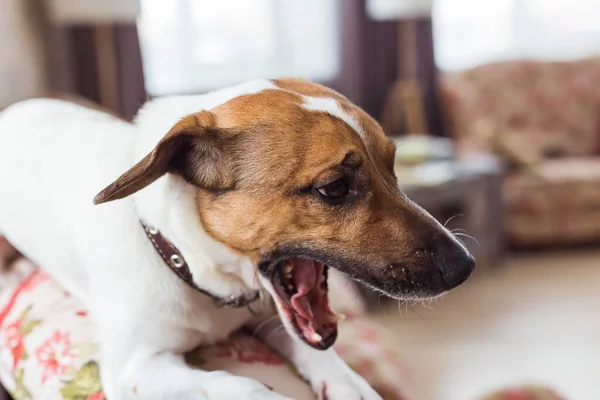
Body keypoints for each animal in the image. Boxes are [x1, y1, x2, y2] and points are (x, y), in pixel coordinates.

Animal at [0, 79, 476, 400]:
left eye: (393, 165)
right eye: (335, 187)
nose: (464, 267)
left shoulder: (272, 314)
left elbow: (321, 353)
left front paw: (349, 383)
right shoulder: (136, 368)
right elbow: (241, 385)